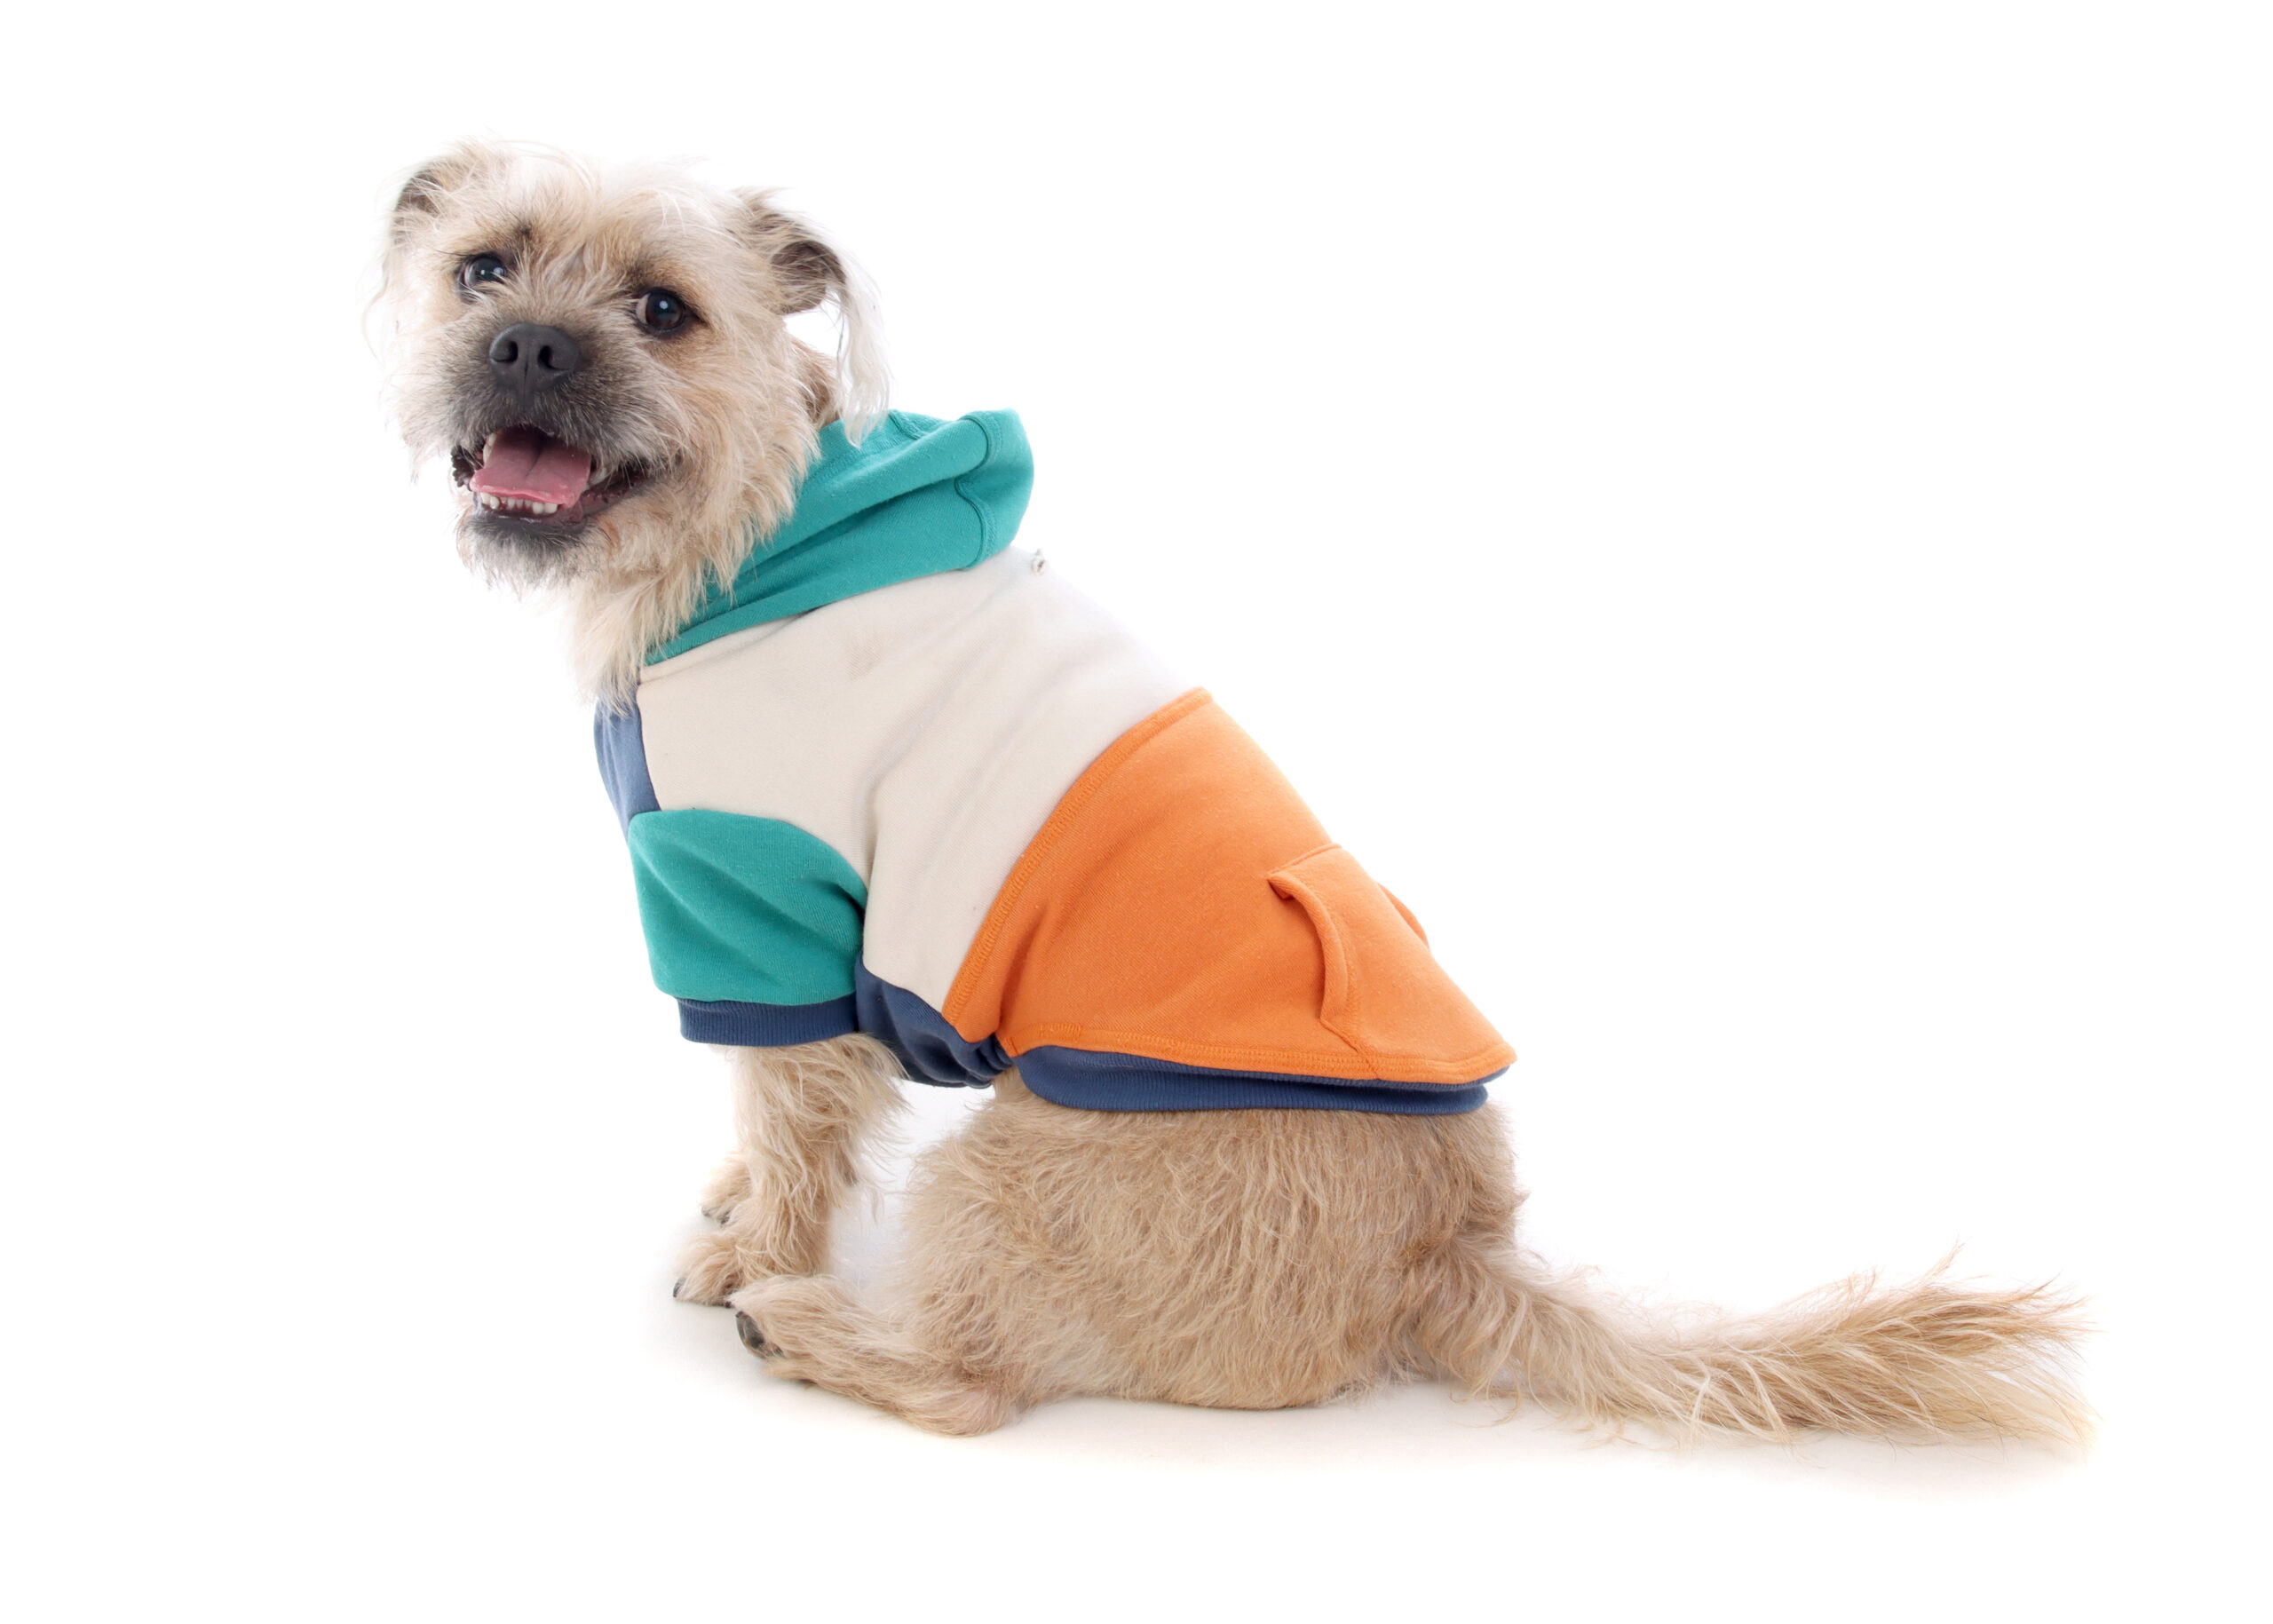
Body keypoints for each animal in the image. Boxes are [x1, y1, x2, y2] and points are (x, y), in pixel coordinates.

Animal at [378, 141, 2089, 1441]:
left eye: (664, 310)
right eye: (482, 268)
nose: (530, 346)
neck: (757, 528)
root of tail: (1453, 1255)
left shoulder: (753, 896)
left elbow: (789, 1101)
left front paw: (755, 1254)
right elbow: (775, 1107)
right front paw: (736, 1203)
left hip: (1013, 1164)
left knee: (972, 1386)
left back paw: (812, 1329)